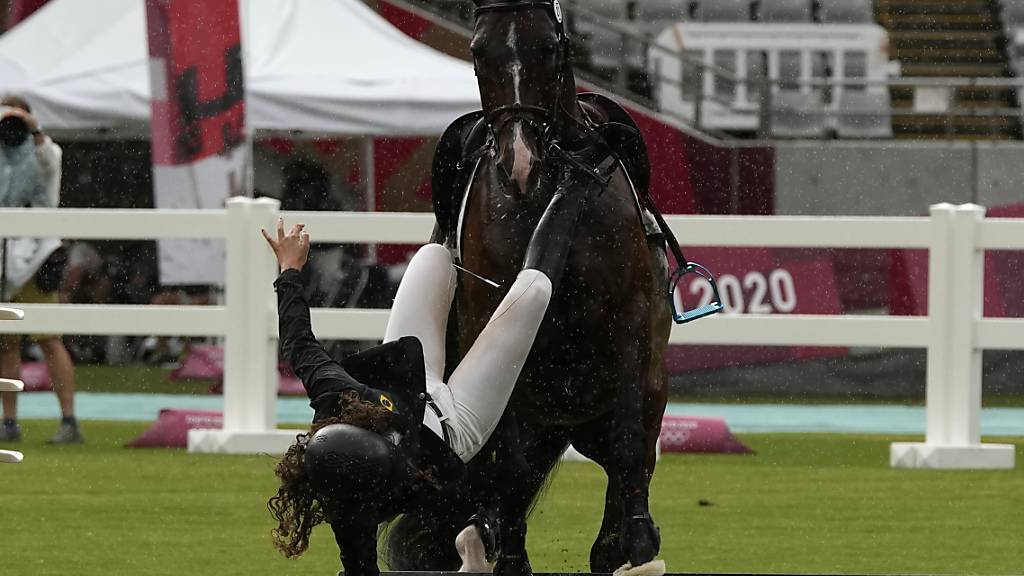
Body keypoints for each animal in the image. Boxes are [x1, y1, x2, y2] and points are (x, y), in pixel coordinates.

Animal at [385, 1, 671, 569]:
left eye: (549, 46)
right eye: (479, 51)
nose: (521, 164)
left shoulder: (631, 323)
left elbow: (630, 446)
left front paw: (633, 544)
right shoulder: (494, 325)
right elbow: (509, 467)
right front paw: (509, 554)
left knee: (626, 458)